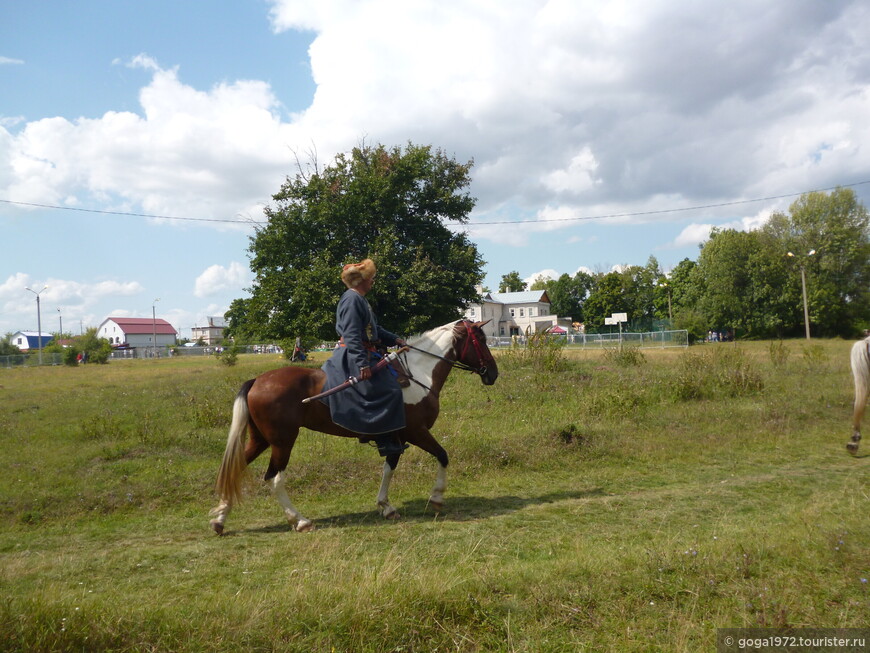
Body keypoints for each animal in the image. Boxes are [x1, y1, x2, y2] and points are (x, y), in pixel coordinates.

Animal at [208, 318, 500, 532]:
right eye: (482, 340)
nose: (493, 373)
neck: (419, 374)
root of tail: (257, 381)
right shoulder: (417, 432)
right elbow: (442, 455)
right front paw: (437, 497)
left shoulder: (394, 438)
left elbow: (389, 468)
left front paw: (386, 506)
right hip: (282, 442)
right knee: (274, 478)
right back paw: (299, 520)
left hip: (260, 440)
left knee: (235, 467)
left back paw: (220, 519)